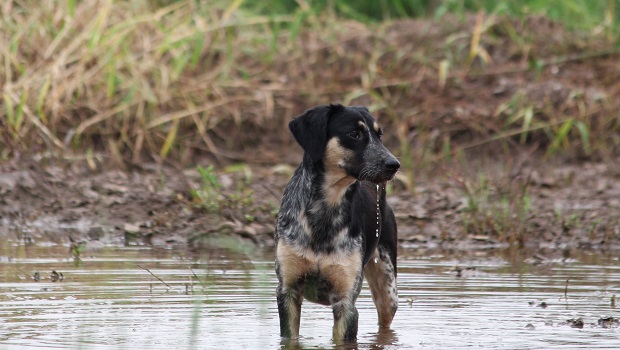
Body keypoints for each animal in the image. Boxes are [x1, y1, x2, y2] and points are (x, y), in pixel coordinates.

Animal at [274, 104, 400, 342]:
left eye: (379, 135)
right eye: (354, 134)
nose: (394, 164)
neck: (326, 207)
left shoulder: (346, 302)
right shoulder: (287, 291)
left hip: (388, 290)